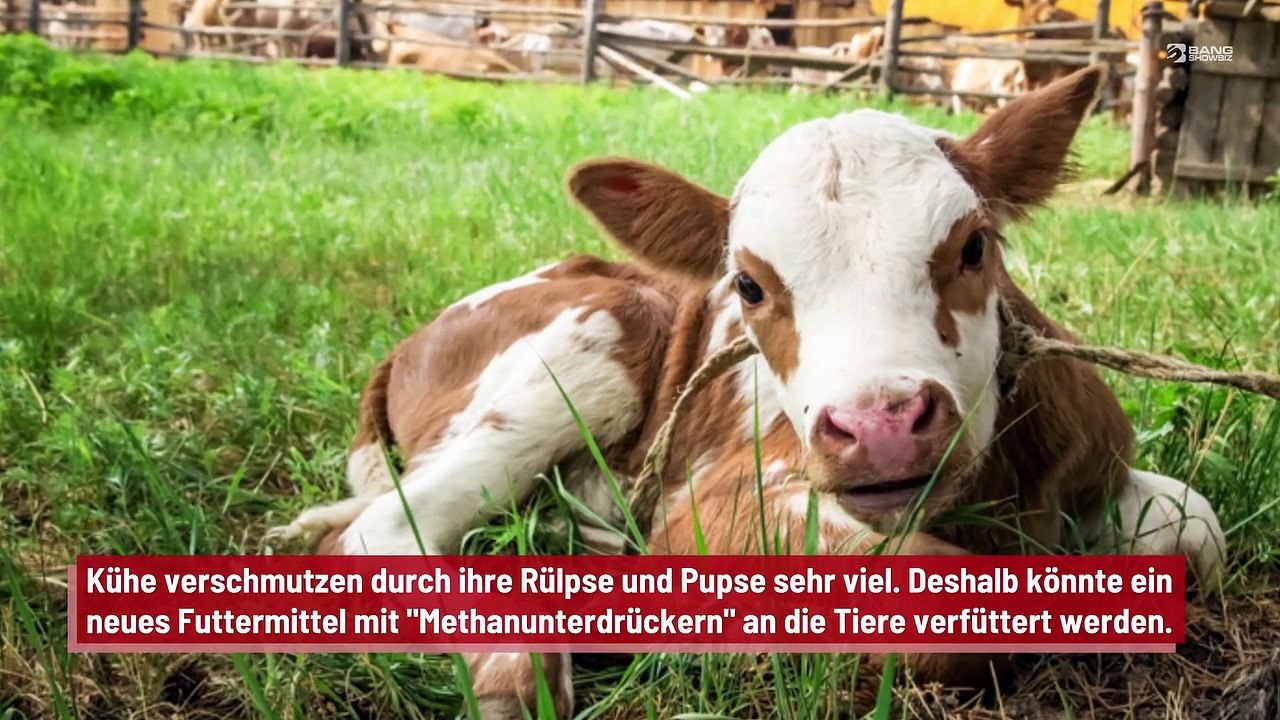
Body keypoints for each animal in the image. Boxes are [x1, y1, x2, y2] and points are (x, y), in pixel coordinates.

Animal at [272, 66, 1225, 719]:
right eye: (750, 285)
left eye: (974, 246)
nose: (881, 425)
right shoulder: (727, 500)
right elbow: (946, 615)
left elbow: (1197, 532)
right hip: (594, 337)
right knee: (379, 537)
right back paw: (523, 665)